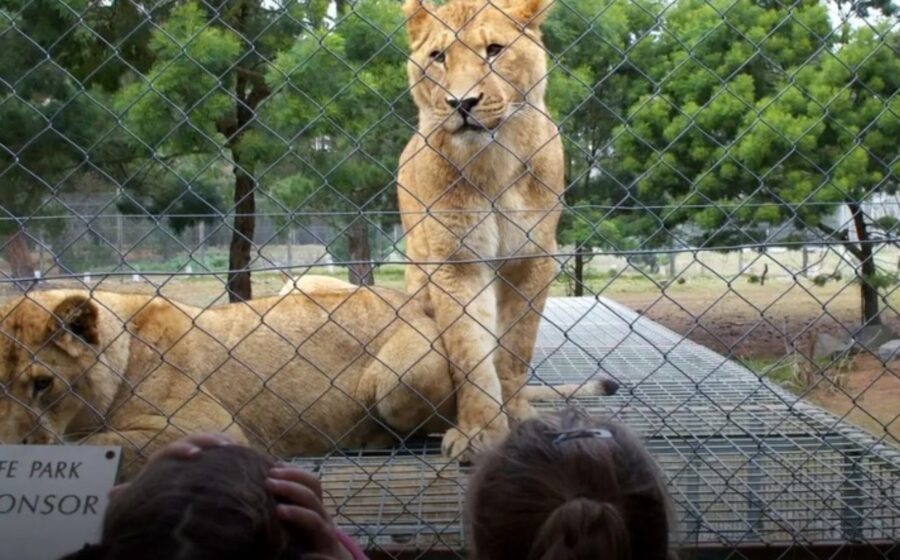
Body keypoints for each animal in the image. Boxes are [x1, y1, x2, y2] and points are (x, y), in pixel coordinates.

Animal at [398, 0, 565, 459]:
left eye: (494, 50)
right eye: (438, 57)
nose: (462, 102)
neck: (494, 164)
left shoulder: (533, 259)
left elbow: (514, 350)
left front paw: (517, 419)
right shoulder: (457, 262)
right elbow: (470, 352)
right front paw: (478, 431)